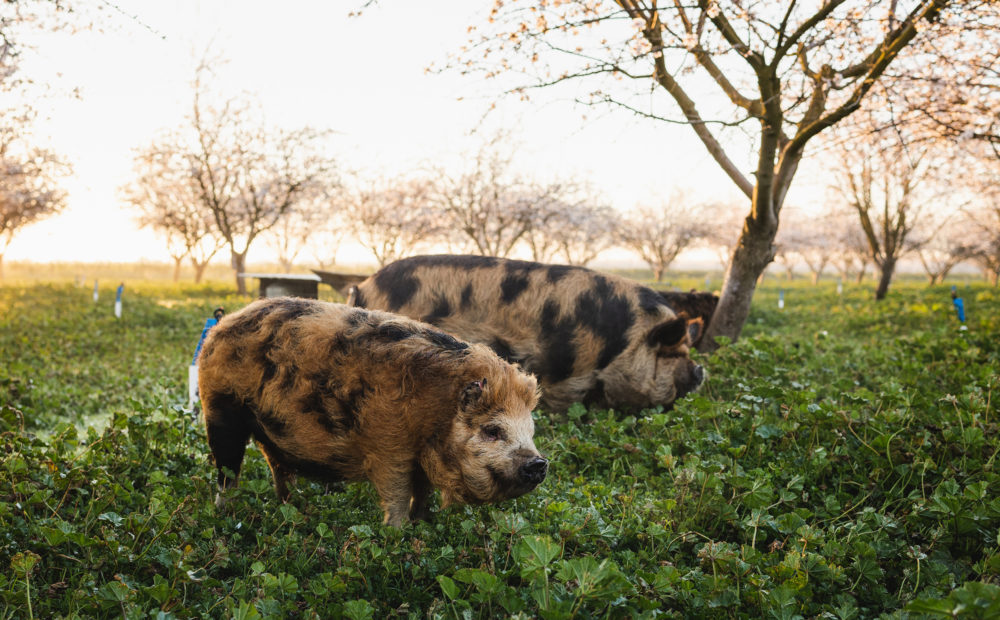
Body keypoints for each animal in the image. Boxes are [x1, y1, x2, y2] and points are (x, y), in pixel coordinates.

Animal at [197, 298, 548, 524]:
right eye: (492, 430)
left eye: (531, 431)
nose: (539, 462)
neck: (435, 412)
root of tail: (222, 325)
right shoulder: (388, 447)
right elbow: (396, 492)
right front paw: (398, 533)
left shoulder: (420, 457)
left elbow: (422, 492)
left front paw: (424, 525)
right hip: (220, 410)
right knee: (227, 471)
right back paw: (225, 513)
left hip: (269, 432)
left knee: (277, 466)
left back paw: (292, 506)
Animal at [348, 254, 708, 414]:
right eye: (674, 352)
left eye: (688, 349)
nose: (701, 370)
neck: (620, 345)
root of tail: (364, 287)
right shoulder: (570, 374)